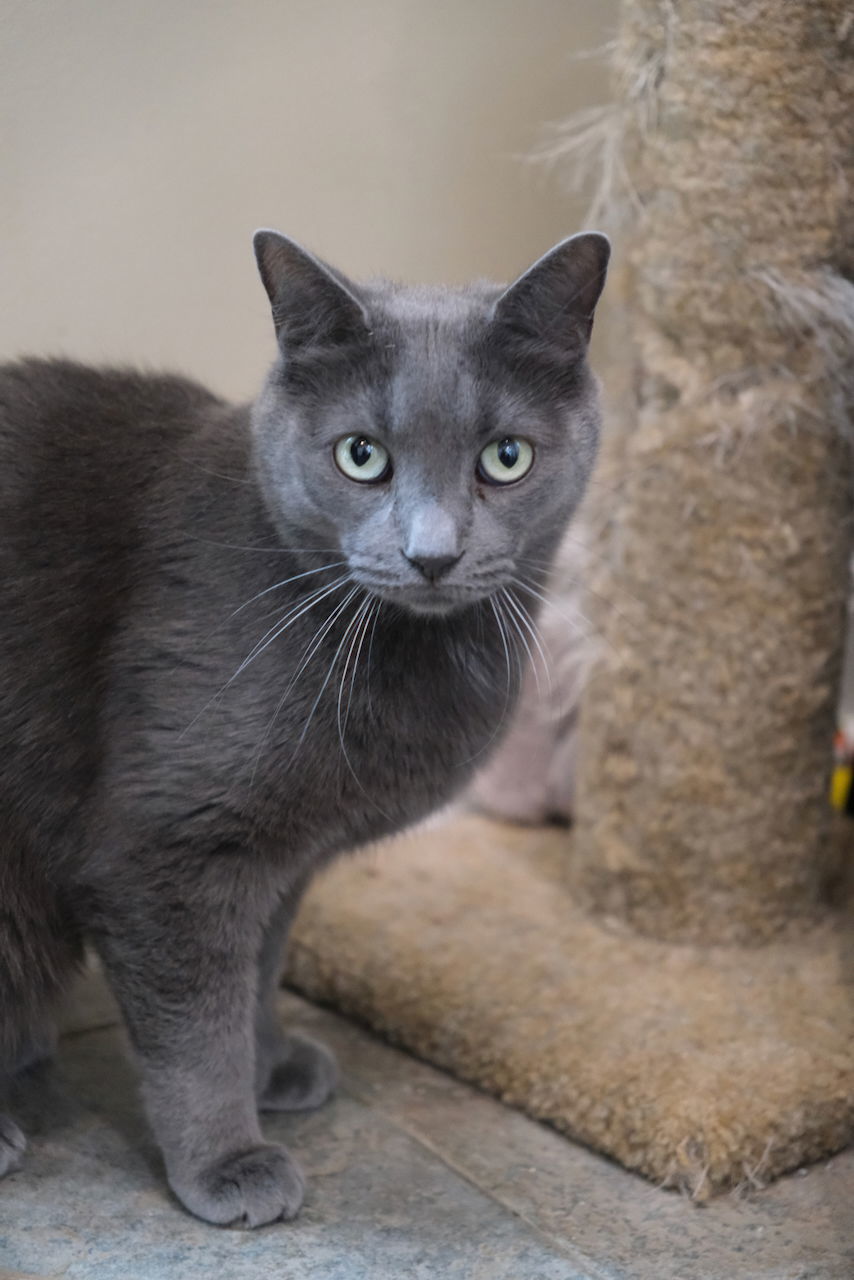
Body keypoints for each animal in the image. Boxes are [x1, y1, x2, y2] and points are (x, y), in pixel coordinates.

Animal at [0, 225, 606, 1223]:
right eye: (361, 456)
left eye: (506, 458)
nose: (431, 554)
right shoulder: (165, 846)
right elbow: (195, 1027)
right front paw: (226, 1161)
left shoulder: (279, 855)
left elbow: (257, 972)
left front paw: (271, 1062)